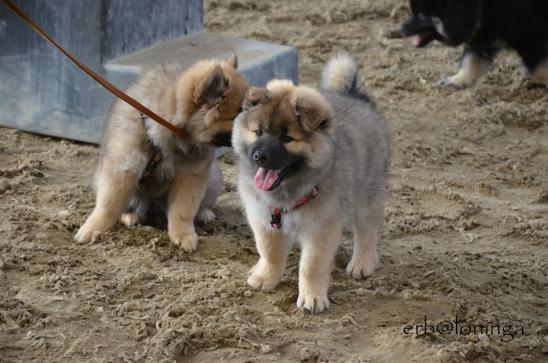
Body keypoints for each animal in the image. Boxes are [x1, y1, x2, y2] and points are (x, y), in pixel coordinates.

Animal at [76, 54, 247, 253]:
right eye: (237, 116)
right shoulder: (123, 168)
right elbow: (108, 205)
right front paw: (92, 229)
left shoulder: (191, 175)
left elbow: (183, 210)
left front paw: (183, 235)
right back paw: (129, 215)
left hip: (213, 179)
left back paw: (203, 213)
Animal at [400, 0, 548, 88]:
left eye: (421, 14)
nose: (401, 29)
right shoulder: (481, 38)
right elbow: (470, 63)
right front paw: (455, 80)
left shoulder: (533, 38)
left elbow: (539, 69)